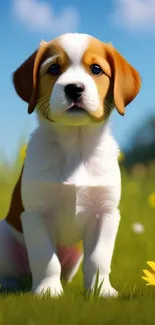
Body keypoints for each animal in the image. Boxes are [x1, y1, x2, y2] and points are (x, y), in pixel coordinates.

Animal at [0, 33, 140, 296]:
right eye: (53, 68)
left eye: (96, 69)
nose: (74, 88)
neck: (75, 146)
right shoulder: (36, 214)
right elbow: (46, 259)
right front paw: (48, 291)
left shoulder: (105, 214)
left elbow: (98, 259)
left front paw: (101, 291)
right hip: (4, 236)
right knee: (13, 272)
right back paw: (10, 285)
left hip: (75, 254)